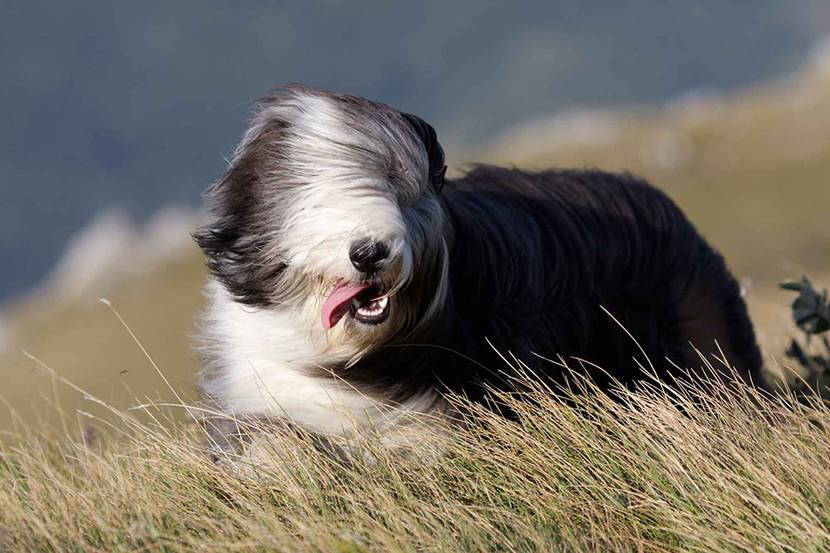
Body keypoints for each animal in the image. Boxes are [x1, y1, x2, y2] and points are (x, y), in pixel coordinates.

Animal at [195, 85, 768, 458]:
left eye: (398, 188)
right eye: (312, 199)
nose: (370, 251)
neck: (347, 355)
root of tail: (663, 205)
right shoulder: (257, 387)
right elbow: (268, 444)